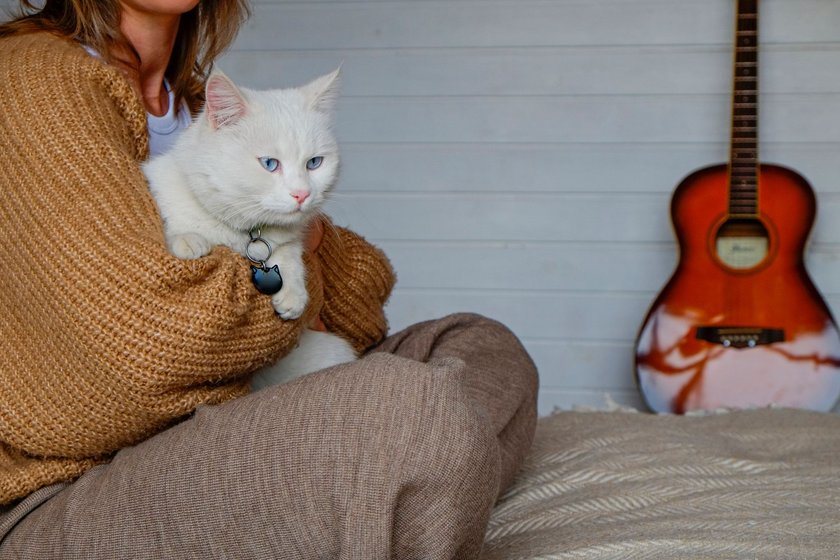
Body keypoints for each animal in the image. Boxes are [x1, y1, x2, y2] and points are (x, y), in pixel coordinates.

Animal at [144, 68, 354, 388]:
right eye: (269, 164)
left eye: (314, 163)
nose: (302, 195)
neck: (241, 232)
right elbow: (172, 223)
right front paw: (187, 239)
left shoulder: (286, 240)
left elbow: (288, 252)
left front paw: (293, 293)